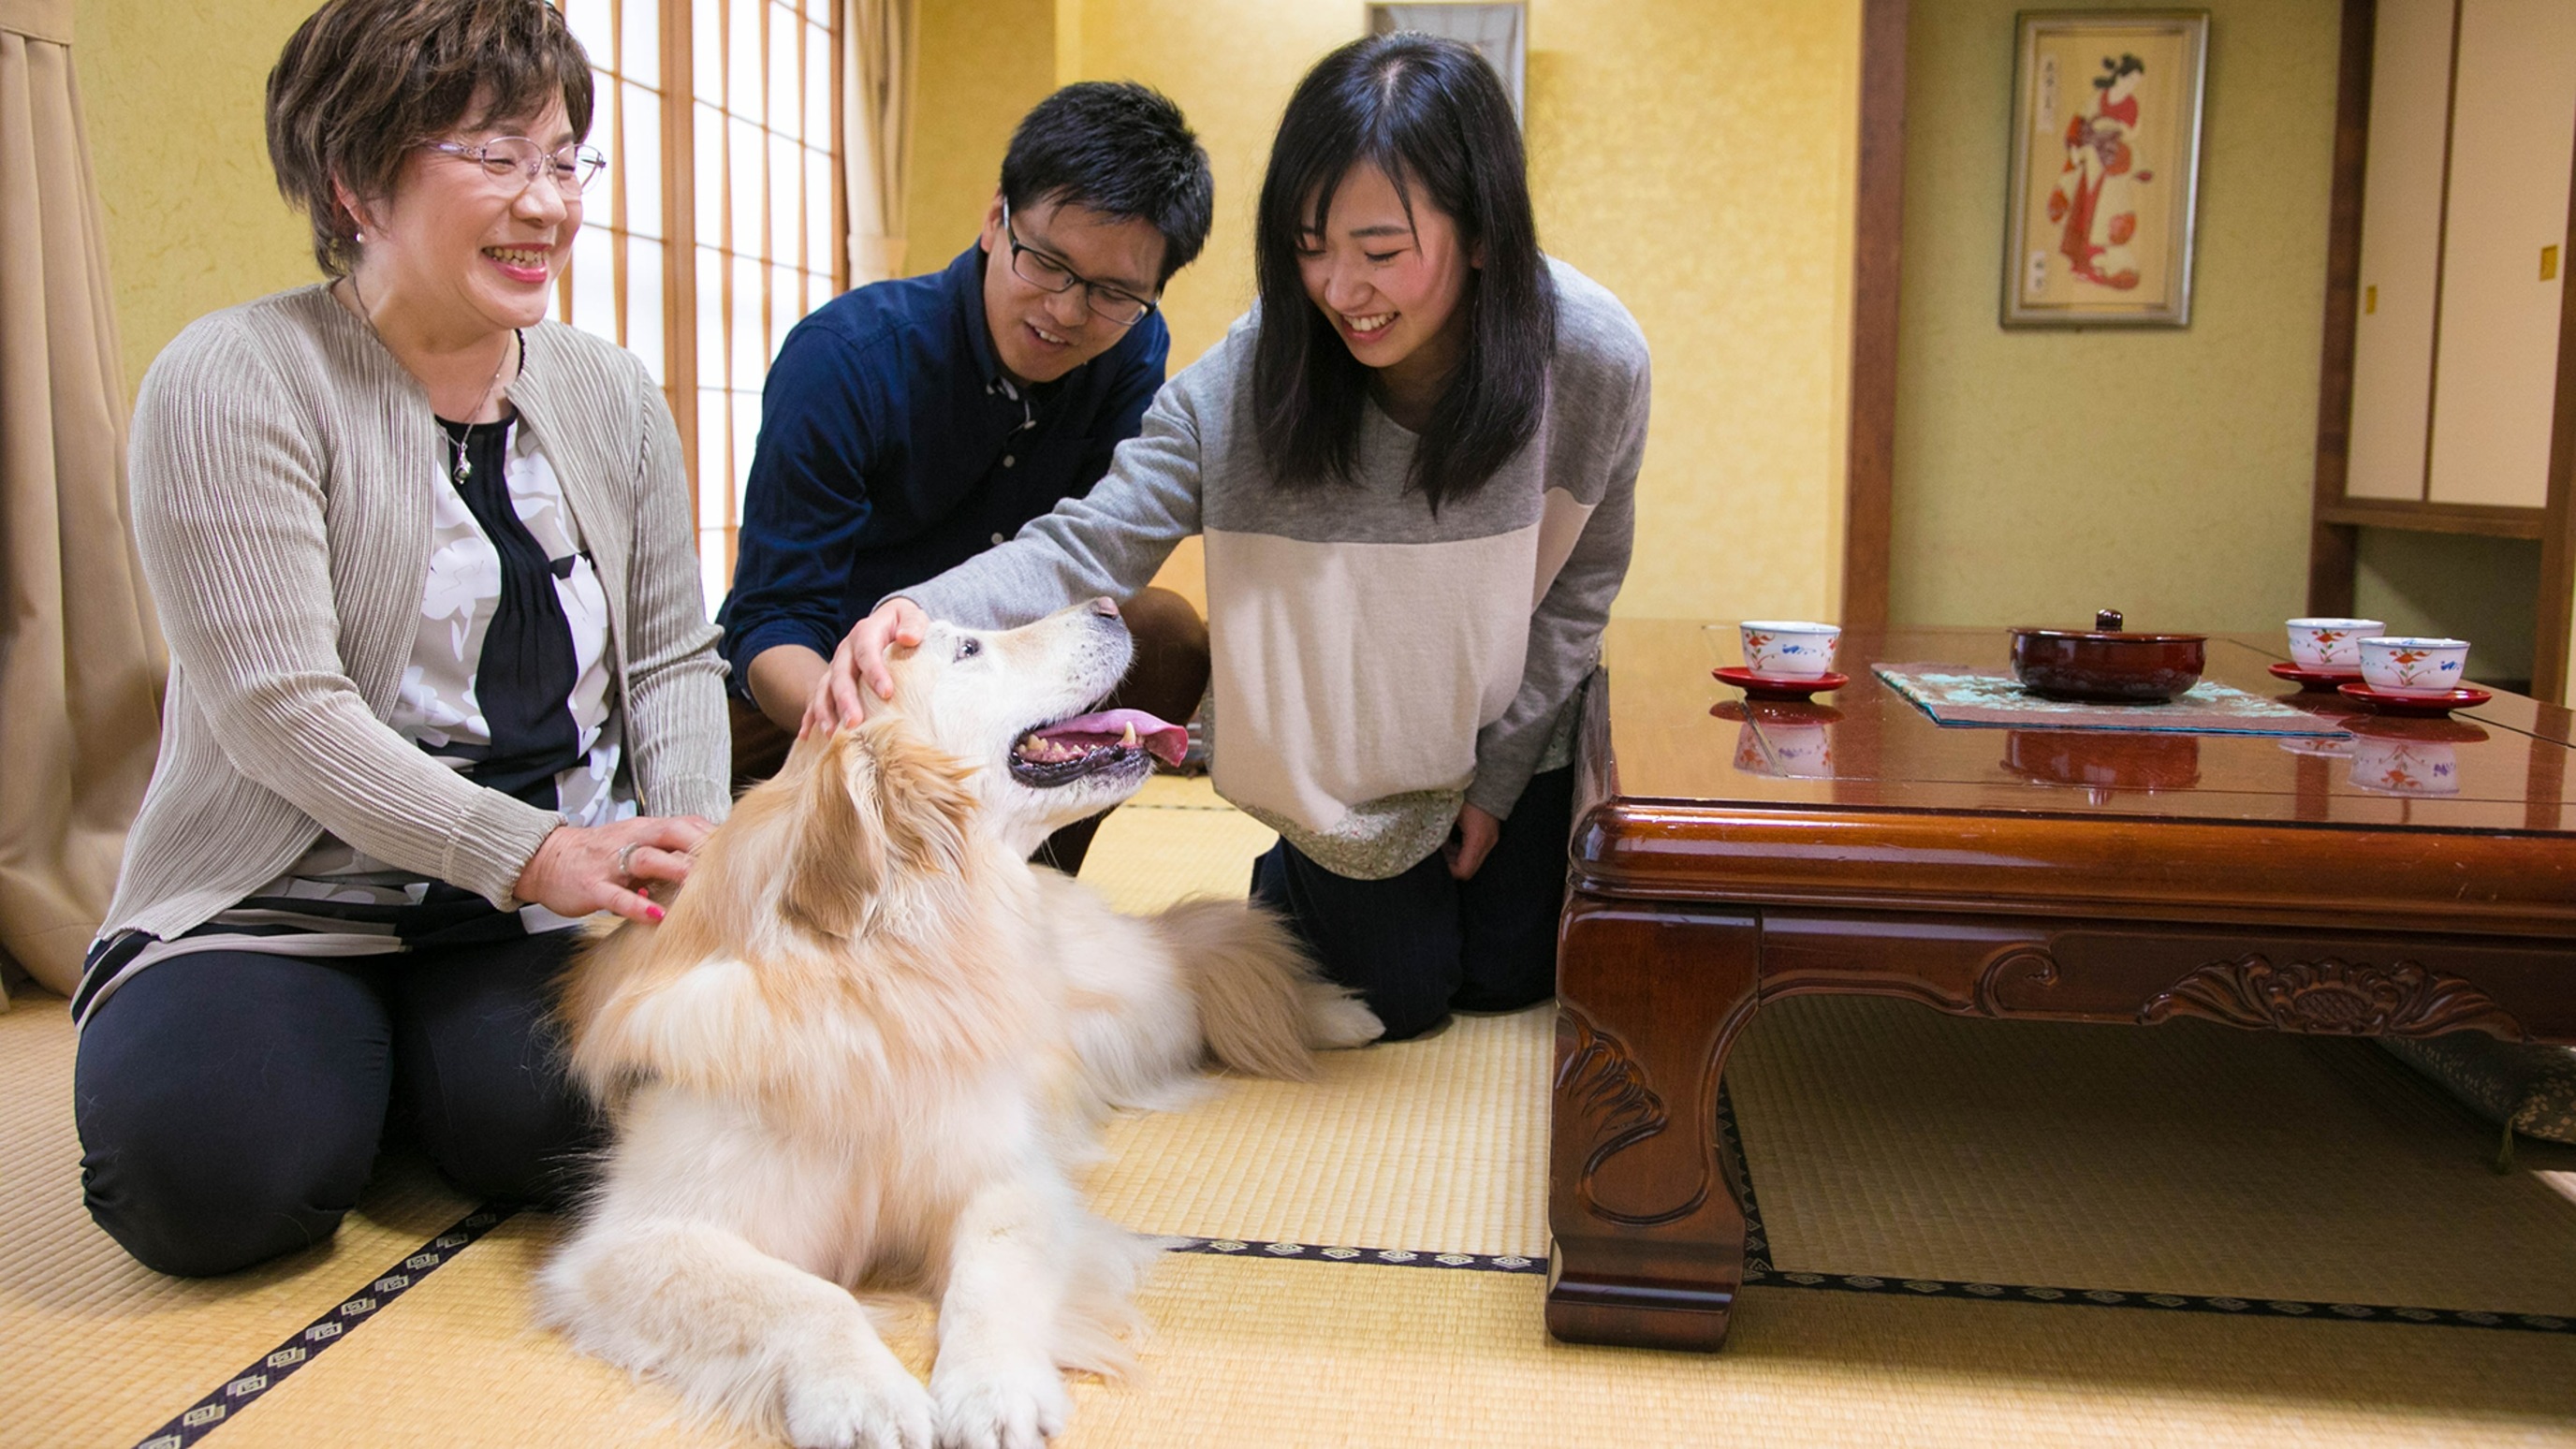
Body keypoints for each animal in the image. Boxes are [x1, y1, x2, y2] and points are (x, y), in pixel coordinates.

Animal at [535, 598, 1381, 1443]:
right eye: (968, 649)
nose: (1108, 605)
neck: (886, 975)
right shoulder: (638, 1239)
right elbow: (808, 1297)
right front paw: (862, 1394)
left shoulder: (1003, 1174)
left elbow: (991, 1272)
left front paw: (994, 1386)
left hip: (1133, 1001)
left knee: (1200, 953)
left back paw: (1338, 1012)